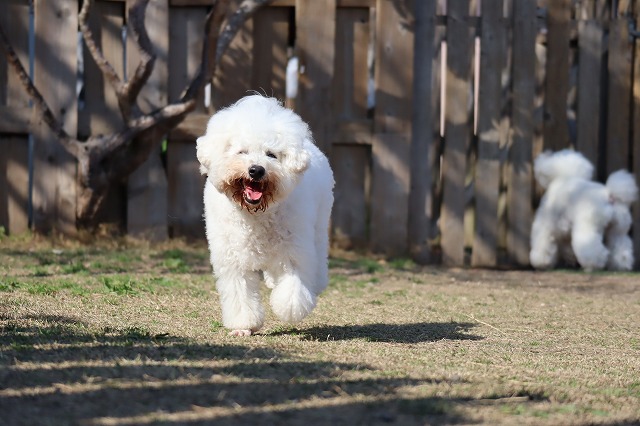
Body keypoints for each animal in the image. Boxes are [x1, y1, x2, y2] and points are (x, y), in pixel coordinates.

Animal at [196, 95, 334, 336]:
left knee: (318, 254)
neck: (256, 214)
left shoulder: (293, 249)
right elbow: (240, 293)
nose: (256, 170)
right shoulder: (233, 258)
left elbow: (293, 287)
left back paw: (315, 282)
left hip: (319, 222)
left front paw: (289, 308)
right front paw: (243, 326)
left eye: (271, 154)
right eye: (241, 152)